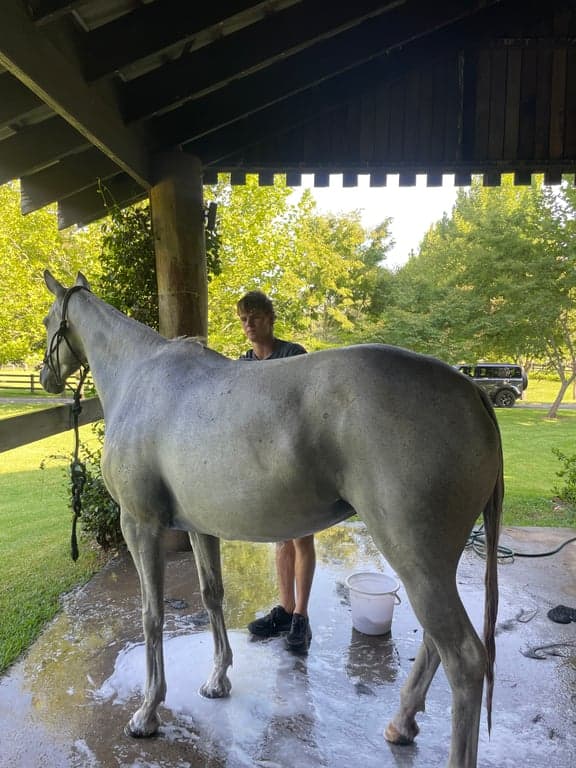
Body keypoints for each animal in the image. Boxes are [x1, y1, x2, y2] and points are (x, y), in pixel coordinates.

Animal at [40, 271, 503, 768]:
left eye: (48, 321)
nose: (46, 377)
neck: (139, 376)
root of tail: (471, 390)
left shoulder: (140, 525)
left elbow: (152, 615)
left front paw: (147, 712)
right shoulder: (200, 527)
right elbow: (212, 596)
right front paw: (217, 680)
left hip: (415, 557)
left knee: (464, 659)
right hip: (434, 563)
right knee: (436, 643)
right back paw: (402, 723)